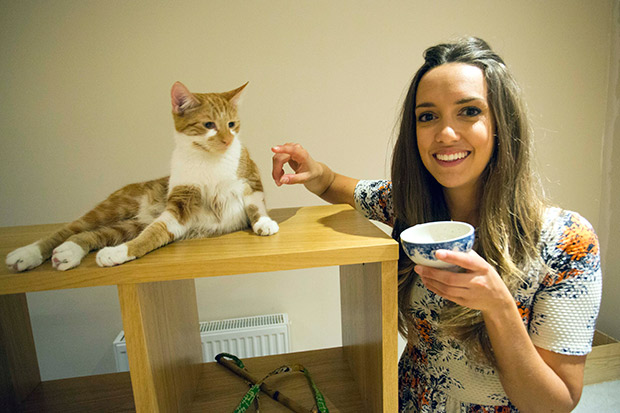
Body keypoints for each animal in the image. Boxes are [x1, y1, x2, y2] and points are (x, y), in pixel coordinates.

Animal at [4, 82, 278, 272]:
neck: (210, 161)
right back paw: (26, 254)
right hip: (113, 208)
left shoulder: (250, 181)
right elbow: (153, 234)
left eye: (232, 124)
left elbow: (255, 204)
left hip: (129, 226)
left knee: (88, 235)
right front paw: (119, 253)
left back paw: (69, 253)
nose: (227, 140)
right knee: (69, 230)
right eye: (209, 125)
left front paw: (264, 223)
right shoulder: (180, 208)